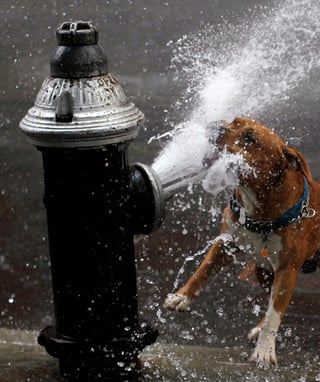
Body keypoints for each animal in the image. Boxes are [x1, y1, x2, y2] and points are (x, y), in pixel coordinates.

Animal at [164, 117, 318, 368]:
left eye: (249, 138)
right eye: (233, 121)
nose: (214, 126)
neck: (260, 210)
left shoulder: (288, 269)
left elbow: (275, 314)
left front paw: (264, 350)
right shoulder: (226, 243)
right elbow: (202, 270)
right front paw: (182, 296)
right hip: (262, 272)